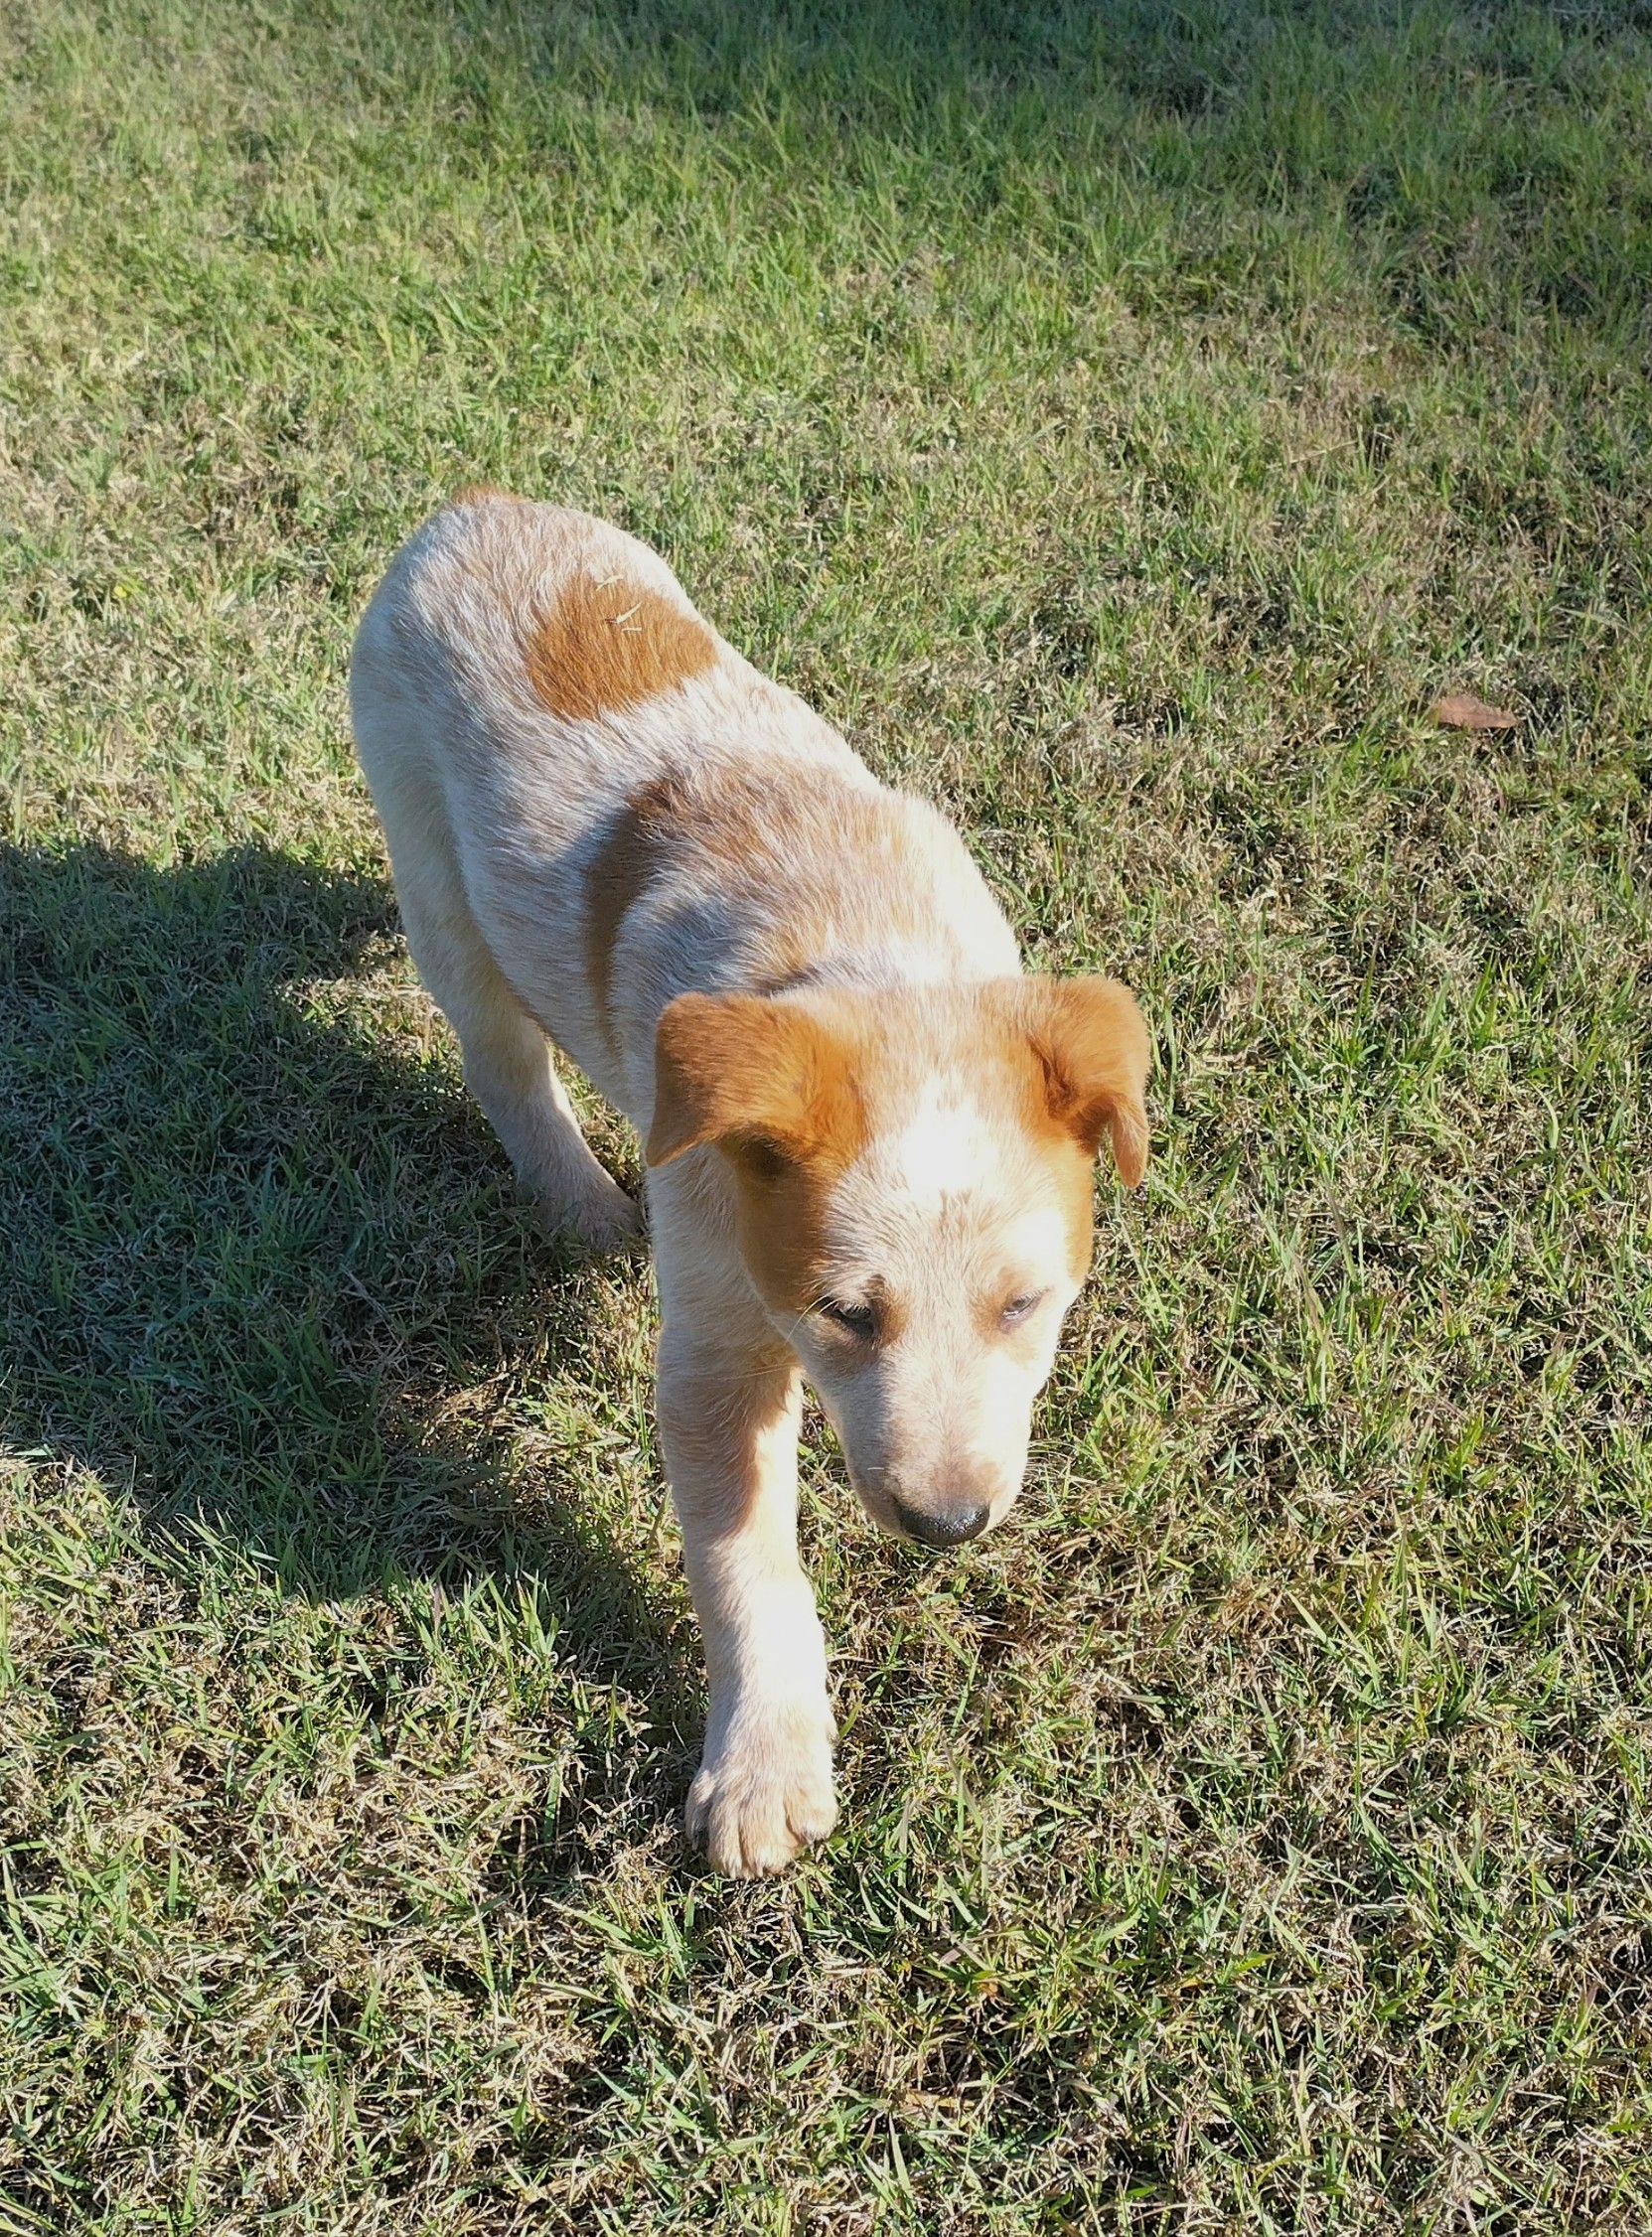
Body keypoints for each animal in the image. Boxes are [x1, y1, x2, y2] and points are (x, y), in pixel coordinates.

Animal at [349, 492, 1150, 1875]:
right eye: (844, 1314)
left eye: (1026, 1306)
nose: (949, 1524)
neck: (861, 952)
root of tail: (469, 511)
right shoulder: (717, 1350)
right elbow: (745, 1569)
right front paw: (764, 1769)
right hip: (433, 869)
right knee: (502, 1056)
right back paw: (582, 1208)